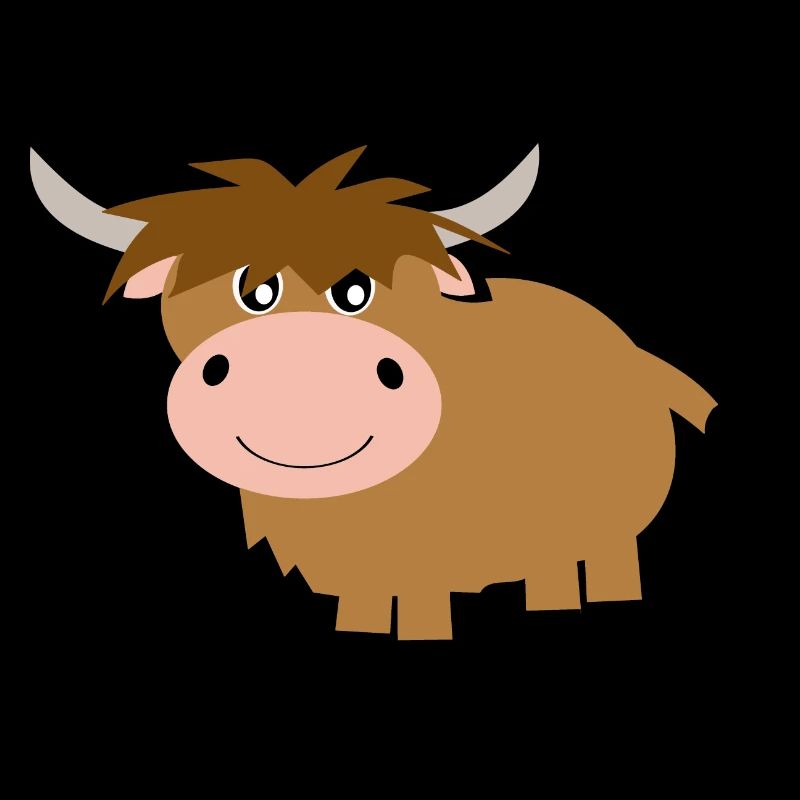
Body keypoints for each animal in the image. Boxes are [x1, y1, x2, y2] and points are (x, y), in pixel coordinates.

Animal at [30, 145, 717, 640]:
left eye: (356, 291)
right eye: (253, 291)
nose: (300, 369)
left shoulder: (426, 562)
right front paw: (358, 631)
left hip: (603, 525)